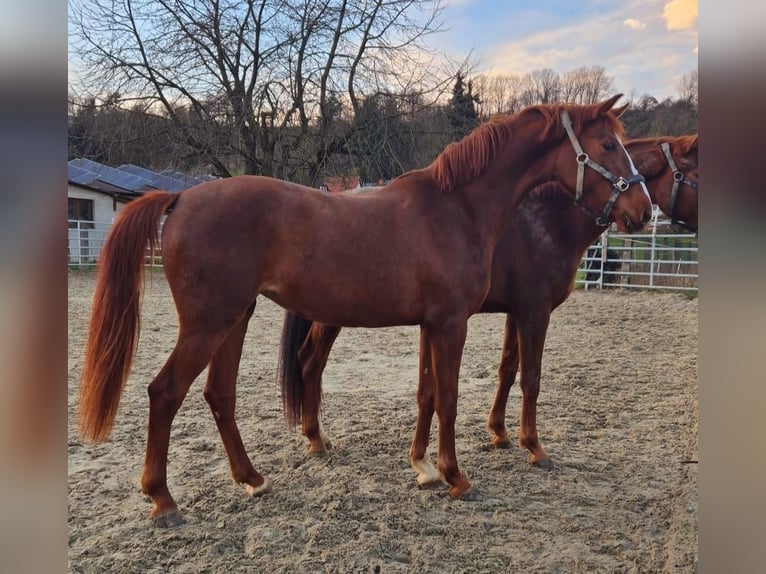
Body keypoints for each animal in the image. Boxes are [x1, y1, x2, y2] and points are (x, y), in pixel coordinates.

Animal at [79, 95, 656, 528]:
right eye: (608, 145)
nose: (643, 212)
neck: (457, 208)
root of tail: (180, 200)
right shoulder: (454, 323)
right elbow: (450, 398)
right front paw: (456, 477)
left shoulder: (433, 324)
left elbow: (428, 393)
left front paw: (426, 469)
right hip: (209, 324)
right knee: (165, 393)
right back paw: (163, 500)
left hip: (235, 319)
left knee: (219, 395)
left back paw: (252, 479)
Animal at [280, 133, 700, 484]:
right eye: (694, 172)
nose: (643, 214)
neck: (546, 221)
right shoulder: (535, 311)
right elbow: (530, 377)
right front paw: (533, 447)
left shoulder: (516, 311)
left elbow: (507, 370)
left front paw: (499, 432)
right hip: (332, 315)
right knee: (311, 363)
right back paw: (316, 439)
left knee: (308, 363)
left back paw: (316, 438)